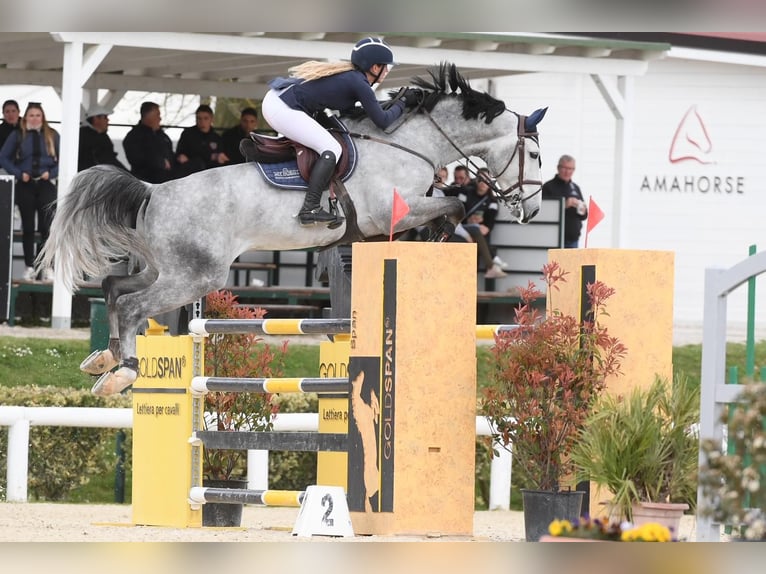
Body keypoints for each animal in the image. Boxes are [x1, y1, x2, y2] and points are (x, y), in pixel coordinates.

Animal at [39, 63, 548, 396]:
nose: (532, 208)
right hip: (195, 276)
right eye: (536, 155)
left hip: (166, 269)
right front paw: (440, 233)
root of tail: (152, 191)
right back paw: (123, 372)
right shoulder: (393, 212)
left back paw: (103, 360)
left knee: (114, 288)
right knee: (132, 306)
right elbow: (454, 204)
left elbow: (449, 204)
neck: (408, 141)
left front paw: (437, 235)